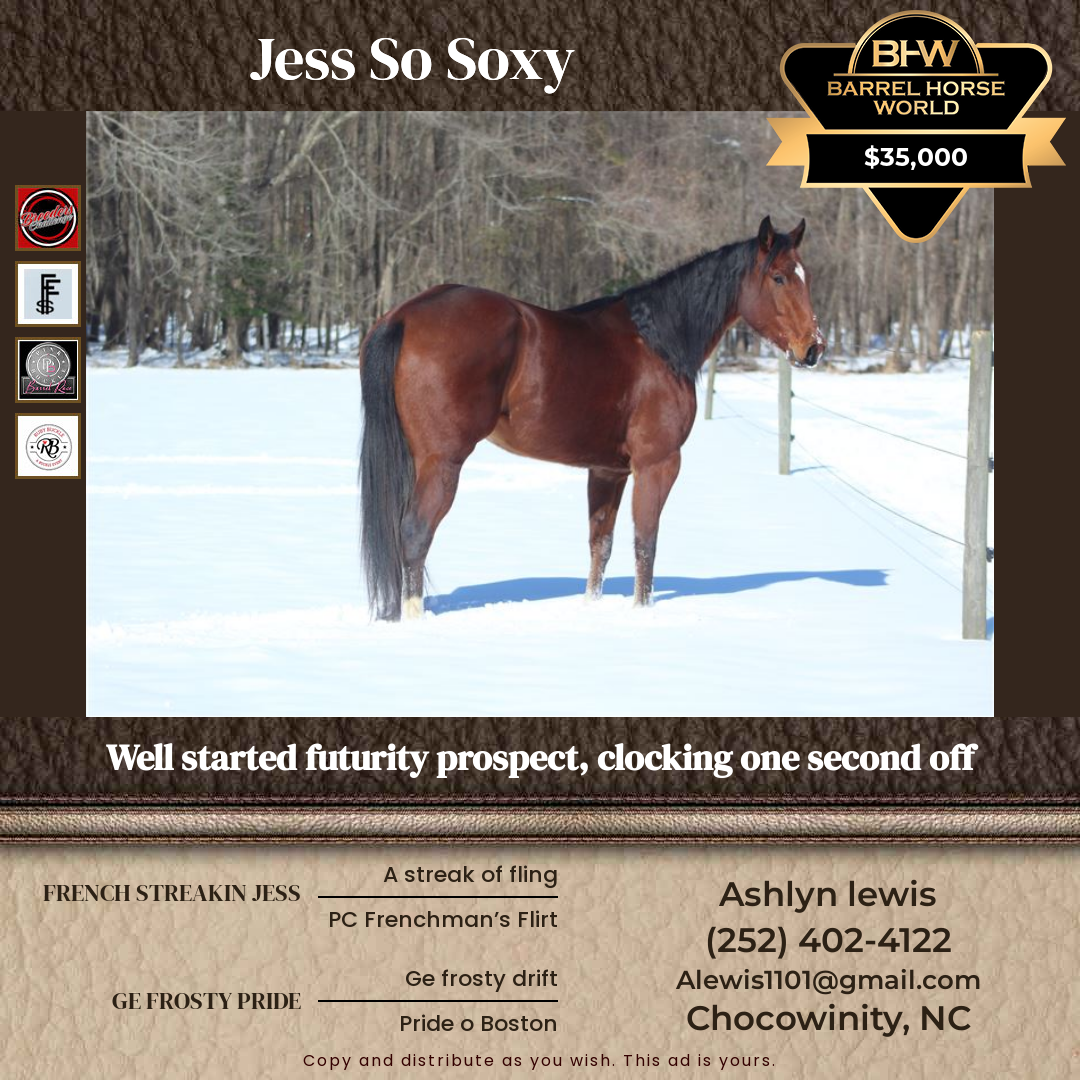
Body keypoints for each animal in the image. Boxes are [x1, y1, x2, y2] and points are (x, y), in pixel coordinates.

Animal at [359, 216, 824, 621]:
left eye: (806, 275)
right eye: (779, 277)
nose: (814, 348)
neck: (659, 341)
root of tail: (404, 315)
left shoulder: (607, 471)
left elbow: (601, 544)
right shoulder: (658, 464)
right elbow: (645, 543)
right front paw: (641, 611)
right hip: (443, 462)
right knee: (415, 533)